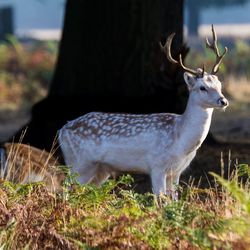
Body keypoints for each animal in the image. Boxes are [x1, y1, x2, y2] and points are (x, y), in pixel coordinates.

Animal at [58, 25, 229, 197]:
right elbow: (159, 198)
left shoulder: (177, 171)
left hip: (99, 169)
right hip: (79, 162)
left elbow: (174, 199)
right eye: (202, 87)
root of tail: (62, 130)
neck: (181, 140)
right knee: (65, 188)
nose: (223, 101)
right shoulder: (157, 165)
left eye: (219, 84)